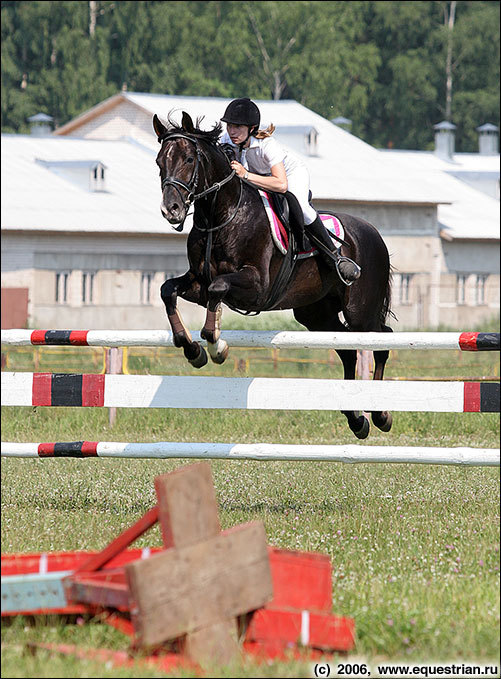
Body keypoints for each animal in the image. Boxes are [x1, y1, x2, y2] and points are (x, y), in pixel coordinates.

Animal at [152, 110, 394, 440]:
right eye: (159, 162)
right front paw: (192, 350)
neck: (221, 215)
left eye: (189, 158)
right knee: (348, 351)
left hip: (360, 312)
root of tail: (375, 233)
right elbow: (169, 290)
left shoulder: (257, 287)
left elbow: (218, 290)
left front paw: (217, 347)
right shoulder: (198, 283)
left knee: (381, 340)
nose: (171, 210)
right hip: (316, 314)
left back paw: (380, 414)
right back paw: (356, 420)